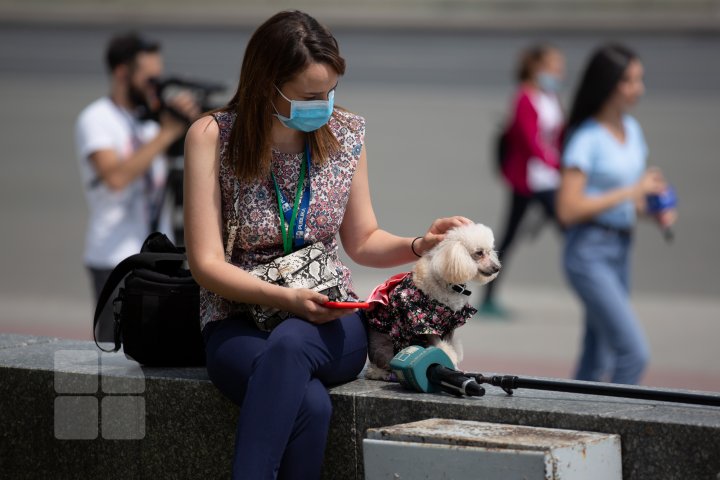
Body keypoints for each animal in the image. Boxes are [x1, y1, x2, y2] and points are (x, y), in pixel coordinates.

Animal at [366, 223, 500, 380]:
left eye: (490, 251)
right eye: (479, 253)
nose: (497, 268)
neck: (449, 284)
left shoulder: (450, 326)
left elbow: (450, 348)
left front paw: (456, 369)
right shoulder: (427, 325)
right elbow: (444, 350)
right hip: (386, 346)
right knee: (377, 367)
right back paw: (382, 373)